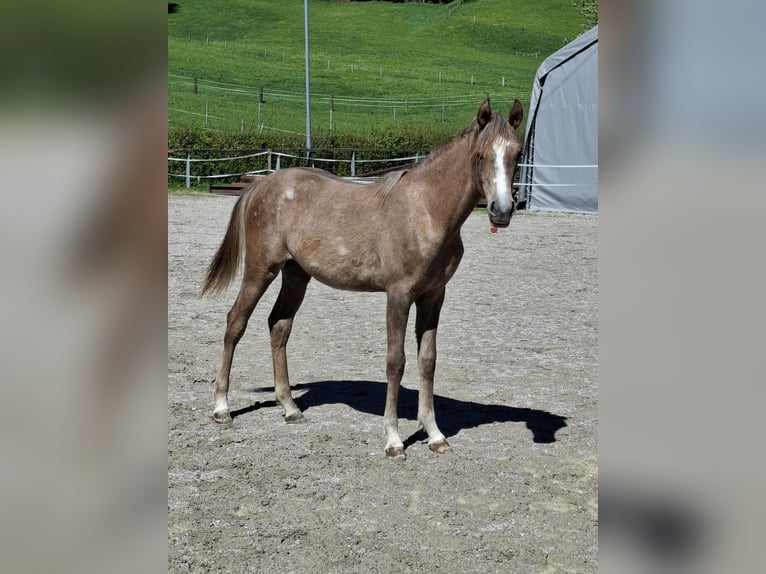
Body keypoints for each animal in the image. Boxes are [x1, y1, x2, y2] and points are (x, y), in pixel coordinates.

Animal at [201, 98, 524, 458]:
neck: (426, 212)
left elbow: (427, 360)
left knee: (279, 326)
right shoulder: (398, 295)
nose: (501, 211)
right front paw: (394, 440)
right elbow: (396, 361)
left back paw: (289, 407)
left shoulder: (433, 296)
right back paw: (222, 407)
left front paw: (435, 434)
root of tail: (262, 183)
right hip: (261, 270)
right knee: (235, 322)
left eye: (518, 153)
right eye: (480, 155)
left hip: (296, 275)